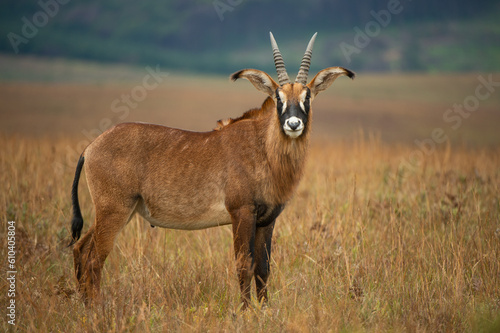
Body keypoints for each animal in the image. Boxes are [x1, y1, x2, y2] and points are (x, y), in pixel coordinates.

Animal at [69, 31, 356, 306]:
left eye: (307, 96)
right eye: (278, 97)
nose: (293, 124)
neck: (262, 146)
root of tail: (91, 147)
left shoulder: (267, 220)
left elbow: (263, 269)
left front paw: (265, 311)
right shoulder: (241, 213)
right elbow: (244, 265)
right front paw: (245, 311)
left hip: (120, 211)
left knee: (81, 249)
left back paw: (85, 307)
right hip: (114, 210)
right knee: (94, 258)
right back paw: (97, 309)